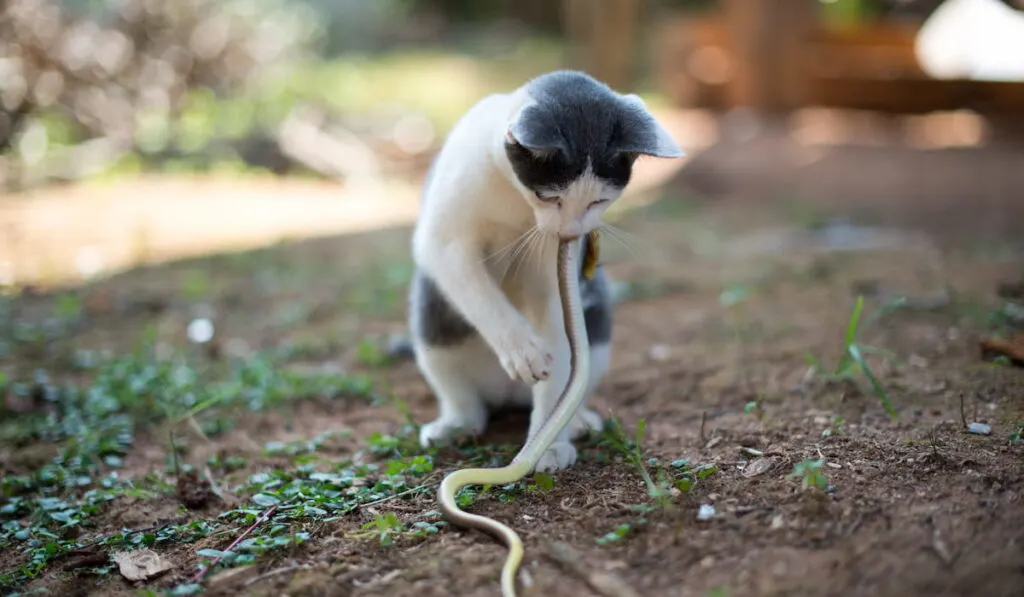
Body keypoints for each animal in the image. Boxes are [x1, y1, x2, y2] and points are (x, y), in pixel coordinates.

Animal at [403, 69, 684, 471]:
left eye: (599, 200)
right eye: (549, 197)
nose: (570, 231)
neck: (515, 199)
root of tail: (508, 395)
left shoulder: (554, 269)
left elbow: (558, 332)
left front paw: (547, 445)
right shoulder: (444, 239)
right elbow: (474, 286)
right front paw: (523, 349)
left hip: (595, 316)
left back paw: (573, 424)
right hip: (432, 315)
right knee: (456, 382)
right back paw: (455, 424)